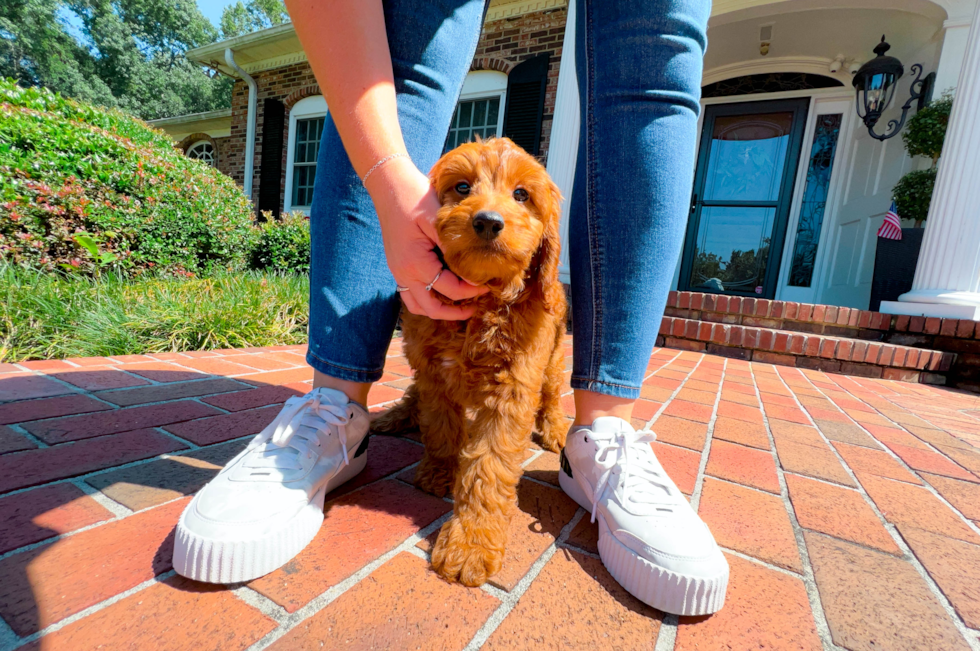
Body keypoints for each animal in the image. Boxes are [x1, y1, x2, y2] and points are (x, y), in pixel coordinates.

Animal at [378, 136, 576, 584]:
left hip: (553, 359)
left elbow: (489, 465)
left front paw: (471, 542)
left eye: (521, 195)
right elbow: (441, 427)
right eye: (463, 187)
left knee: (552, 394)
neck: (483, 301)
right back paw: (396, 415)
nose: (487, 222)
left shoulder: (513, 390)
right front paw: (440, 470)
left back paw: (555, 429)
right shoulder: (434, 373)